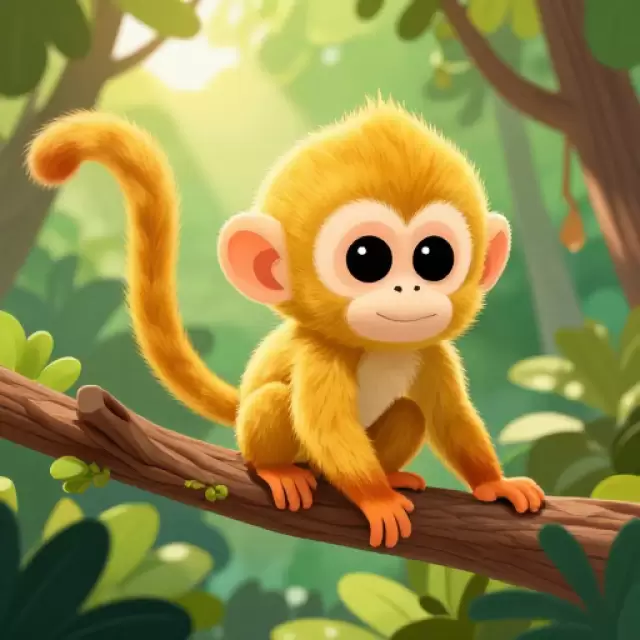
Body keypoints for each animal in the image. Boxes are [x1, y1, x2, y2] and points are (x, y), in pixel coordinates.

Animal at [27, 100, 544, 550]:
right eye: (366, 257)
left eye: (434, 257)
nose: (410, 290)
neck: (377, 346)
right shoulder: (319, 353)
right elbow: (327, 426)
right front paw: (376, 499)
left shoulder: (432, 351)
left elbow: (449, 416)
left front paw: (494, 484)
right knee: (274, 402)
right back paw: (280, 470)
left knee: (408, 413)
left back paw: (391, 473)